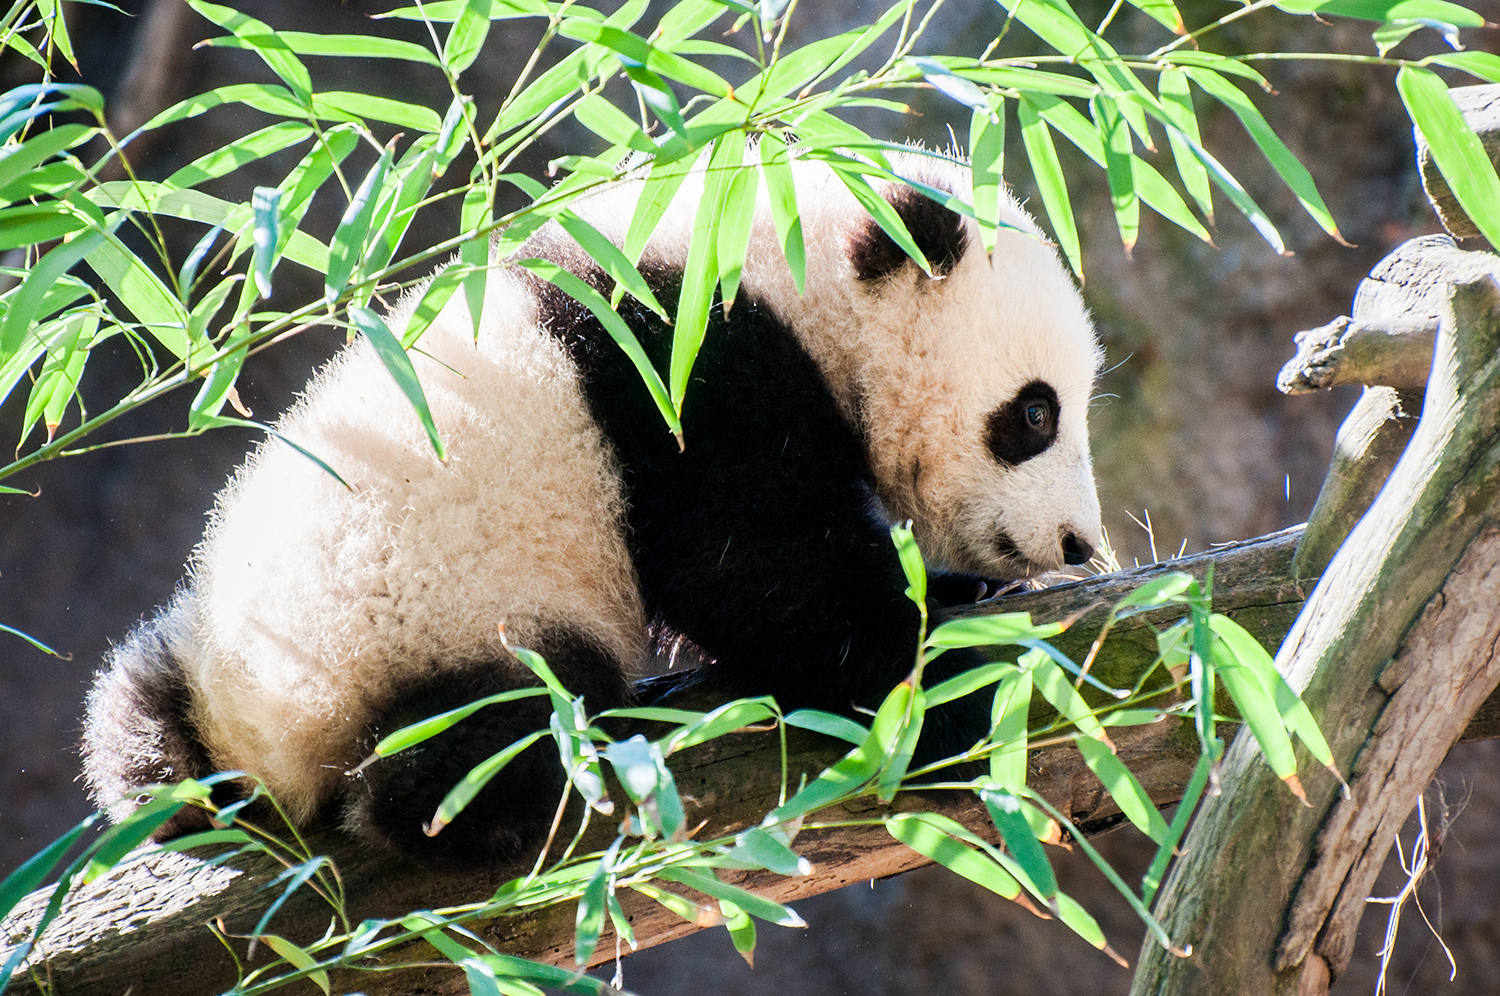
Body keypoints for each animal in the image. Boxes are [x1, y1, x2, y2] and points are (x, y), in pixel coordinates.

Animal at [81, 148, 1103, 863]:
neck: (782, 254)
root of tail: (264, 741)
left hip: (204, 654)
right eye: (1036, 414)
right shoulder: (680, 359)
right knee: (486, 740)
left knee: (132, 707)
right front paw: (947, 668)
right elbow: (757, 560)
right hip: (434, 626)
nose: (1079, 543)